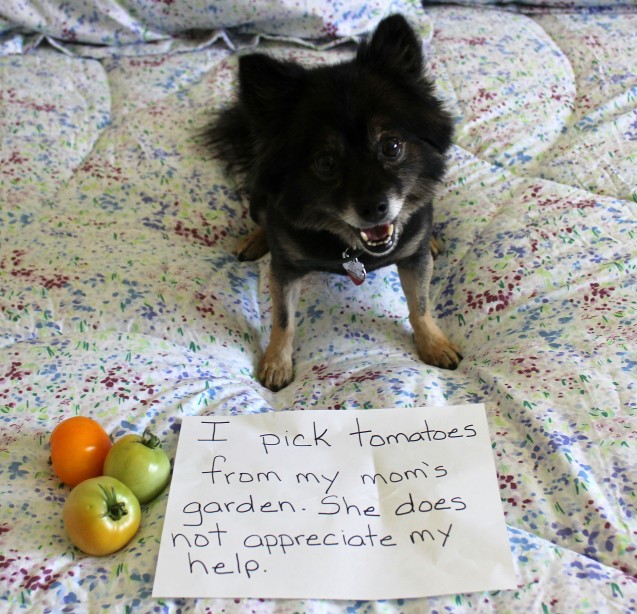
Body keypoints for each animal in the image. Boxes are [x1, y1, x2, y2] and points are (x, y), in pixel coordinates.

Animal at [209, 14, 462, 392]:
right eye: (326, 162)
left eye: (391, 147)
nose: (374, 208)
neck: (351, 247)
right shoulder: (284, 268)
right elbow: (283, 319)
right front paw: (276, 363)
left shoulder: (413, 261)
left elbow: (420, 304)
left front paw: (434, 344)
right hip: (258, 198)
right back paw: (256, 240)